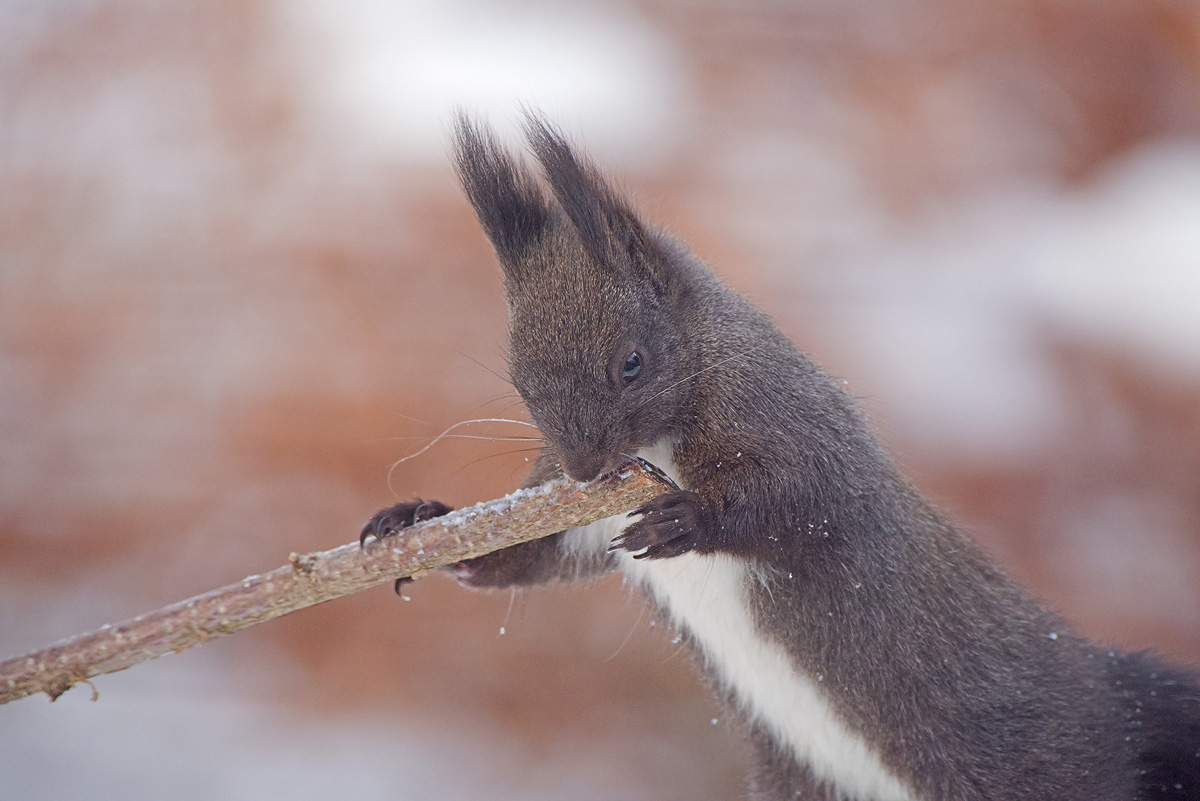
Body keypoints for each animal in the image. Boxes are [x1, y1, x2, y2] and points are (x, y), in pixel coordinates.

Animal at [362, 114, 1200, 801]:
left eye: (631, 363)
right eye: (520, 381)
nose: (585, 470)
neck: (663, 436)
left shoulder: (795, 425)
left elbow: (806, 504)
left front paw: (689, 520)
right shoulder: (584, 525)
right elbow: (531, 556)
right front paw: (420, 521)